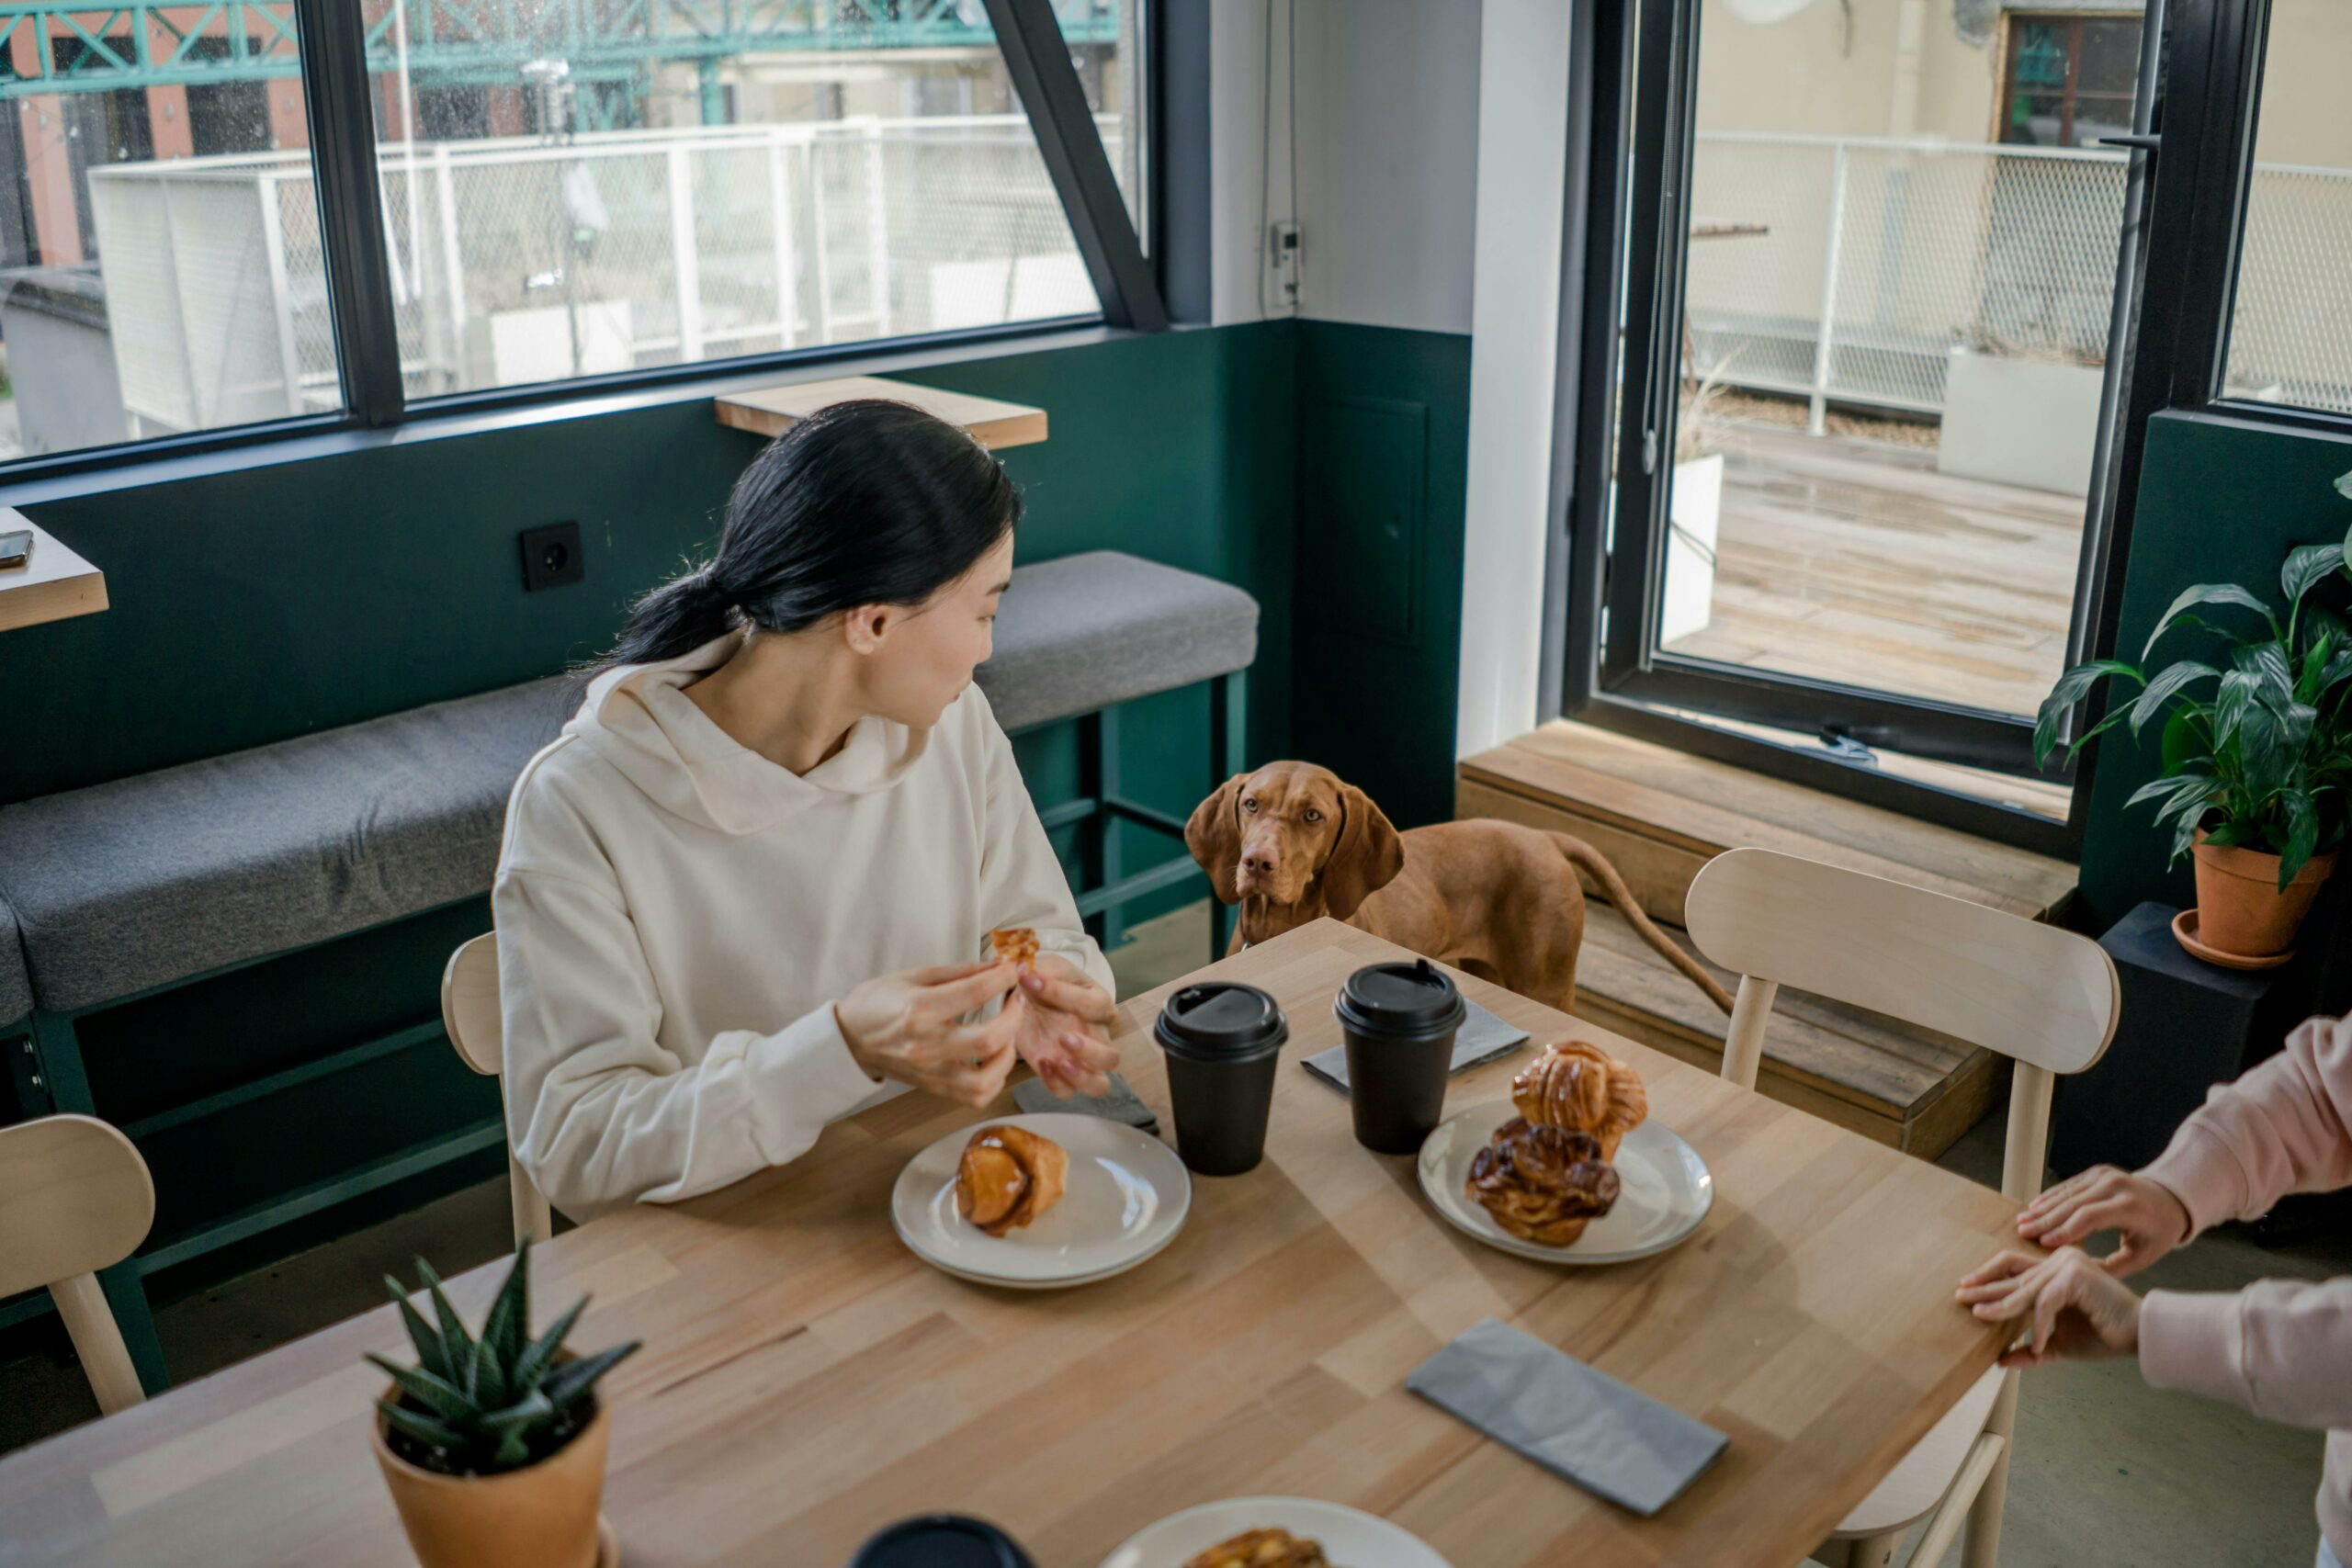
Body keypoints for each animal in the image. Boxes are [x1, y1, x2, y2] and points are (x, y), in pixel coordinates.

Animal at [1185, 761, 1740, 1020]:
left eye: (1312, 816)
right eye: (1251, 805)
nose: (1257, 863)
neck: (1282, 927)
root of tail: (1545, 837)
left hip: (1548, 986)